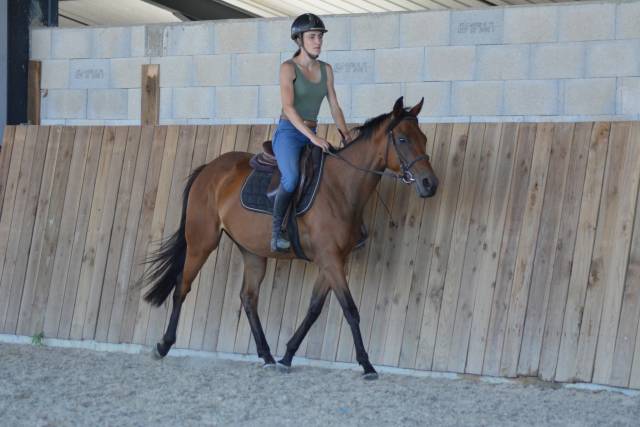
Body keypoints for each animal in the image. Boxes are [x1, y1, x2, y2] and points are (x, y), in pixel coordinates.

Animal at [140, 97, 439, 379]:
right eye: (402, 139)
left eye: (424, 138)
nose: (430, 184)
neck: (340, 187)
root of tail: (209, 169)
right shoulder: (330, 260)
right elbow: (350, 309)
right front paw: (367, 365)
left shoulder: (332, 261)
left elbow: (314, 309)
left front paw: (287, 356)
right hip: (201, 242)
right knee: (182, 286)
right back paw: (163, 345)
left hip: (253, 252)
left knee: (248, 298)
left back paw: (267, 356)